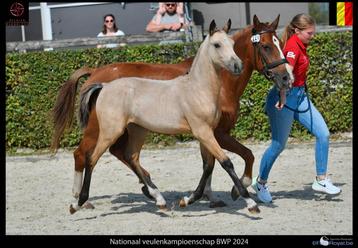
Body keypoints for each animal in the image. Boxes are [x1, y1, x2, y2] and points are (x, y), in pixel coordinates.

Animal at [53, 14, 294, 209]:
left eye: (280, 43)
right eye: (265, 46)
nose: (286, 78)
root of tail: (96, 75)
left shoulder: (207, 133)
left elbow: (211, 164)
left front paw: (207, 197)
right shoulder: (217, 133)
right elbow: (241, 156)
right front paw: (238, 191)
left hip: (131, 129)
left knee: (123, 154)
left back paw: (151, 191)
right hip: (100, 129)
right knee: (83, 155)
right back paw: (81, 200)